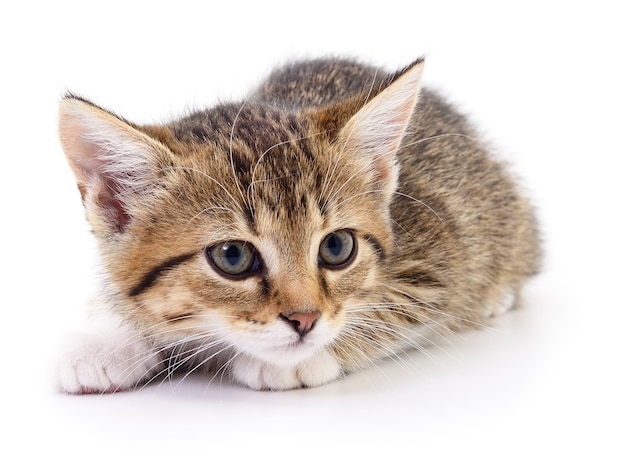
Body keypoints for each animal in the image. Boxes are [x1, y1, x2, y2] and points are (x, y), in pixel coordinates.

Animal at [56, 56, 540, 392]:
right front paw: (105, 339)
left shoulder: (438, 257)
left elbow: (391, 305)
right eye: (232, 256)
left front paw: (296, 359)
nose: (305, 320)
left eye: (337, 248)